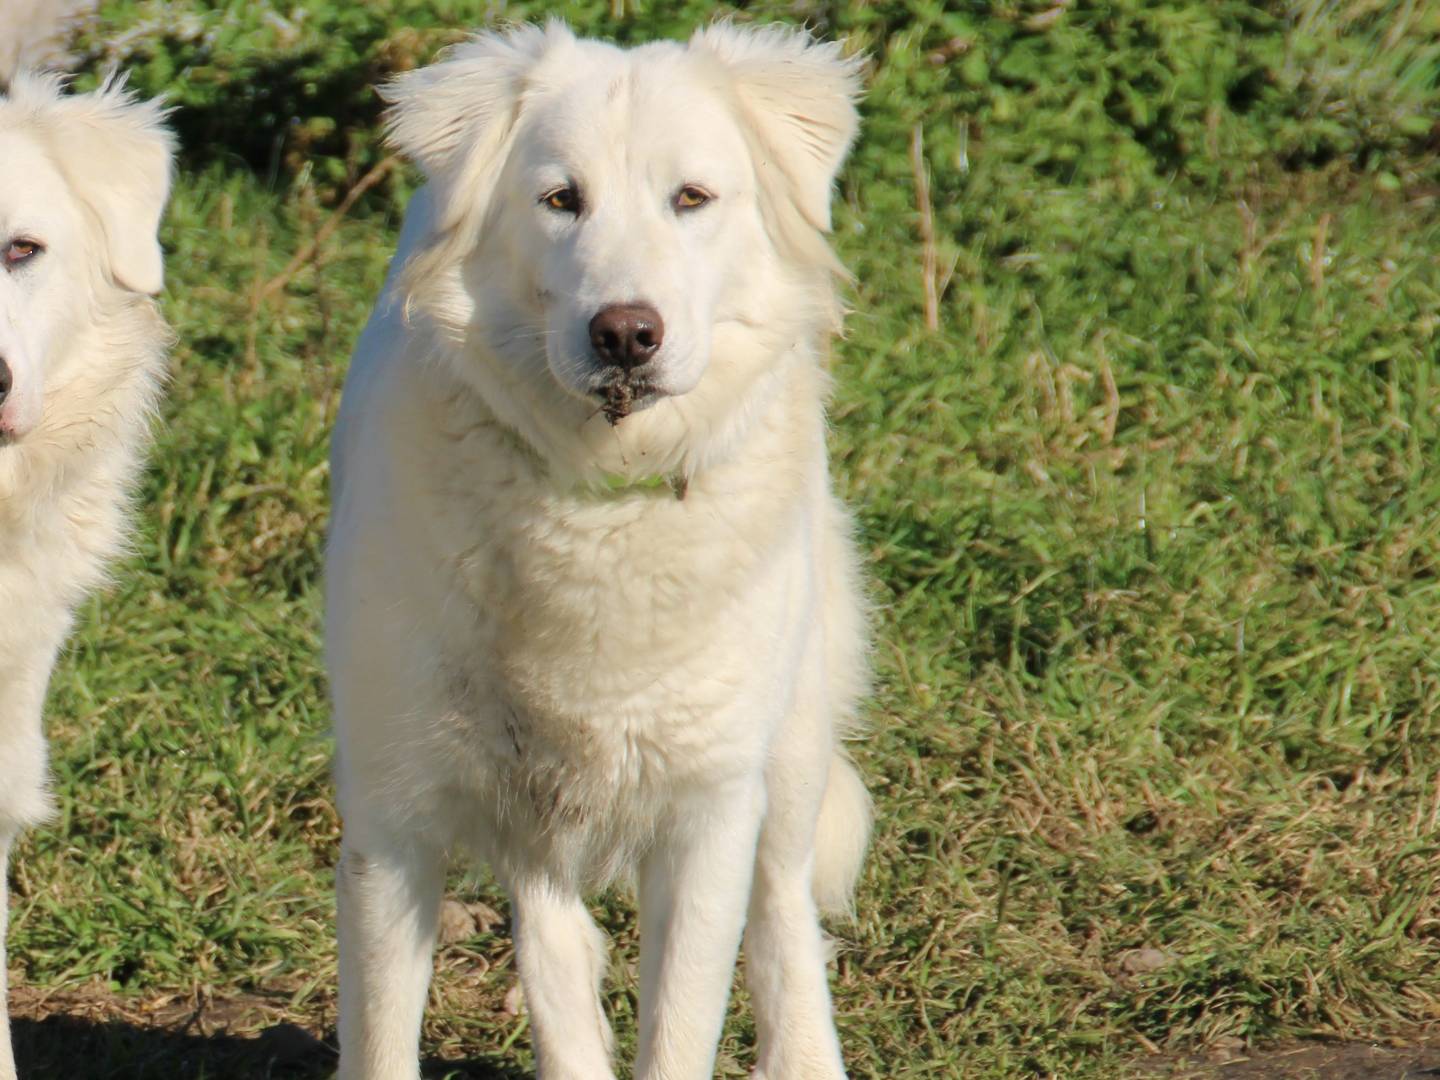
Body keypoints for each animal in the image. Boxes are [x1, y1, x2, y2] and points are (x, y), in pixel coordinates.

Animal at [325, 25, 864, 1080]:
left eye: (691, 198)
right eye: (559, 199)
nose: (624, 335)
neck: (598, 501)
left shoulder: (707, 815)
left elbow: (684, 1028)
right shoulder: (392, 814)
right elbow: (382, 1038)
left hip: (787, 747)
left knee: (782, 910)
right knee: (552, 928)